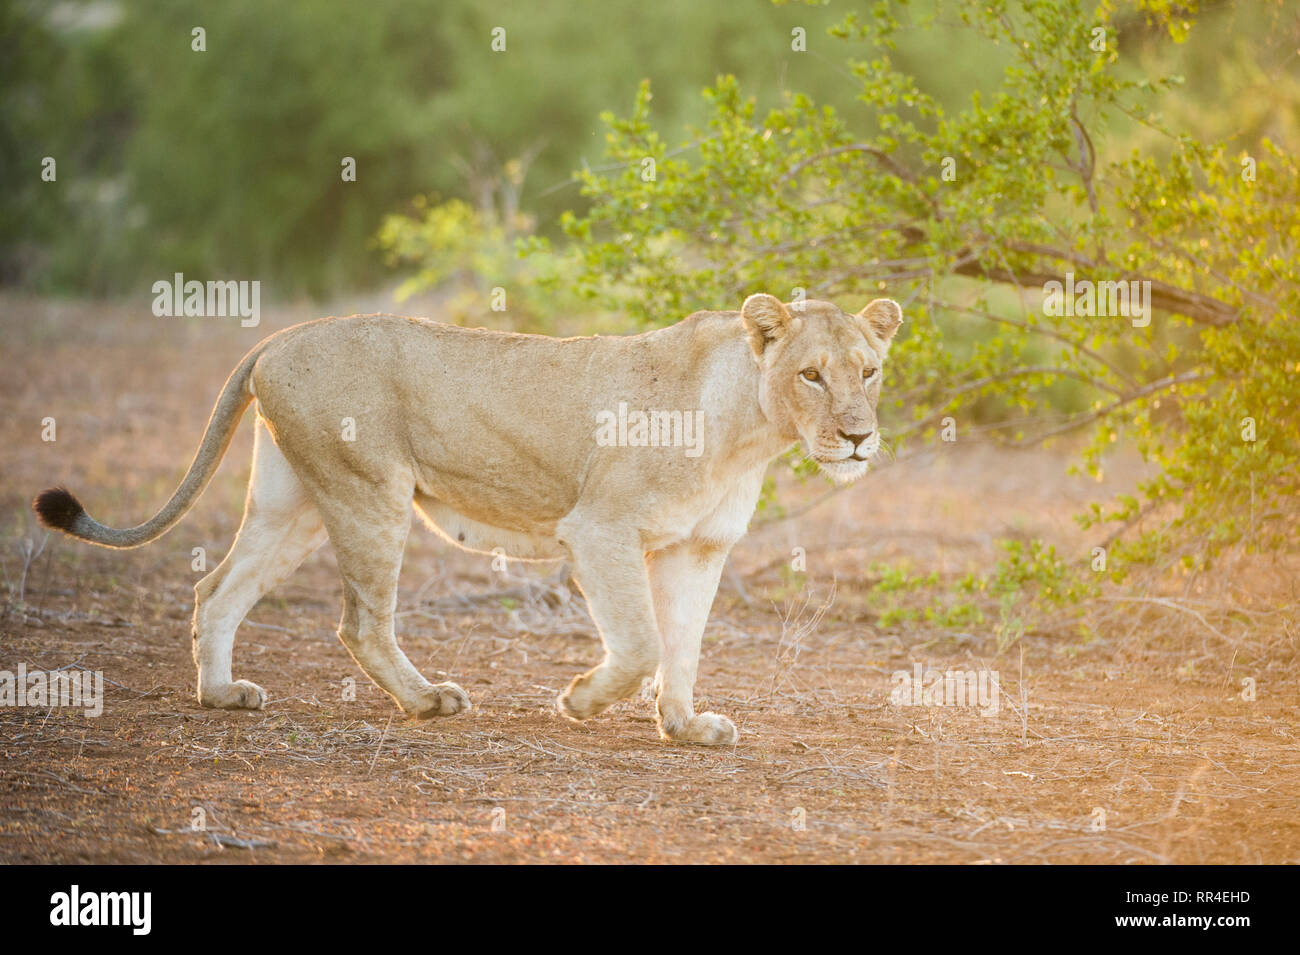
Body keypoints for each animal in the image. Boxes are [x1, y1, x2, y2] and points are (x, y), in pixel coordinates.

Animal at [34, 294, 902, 745]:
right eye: (812, 375)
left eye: (870, 371)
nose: (859, 436)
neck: (748, 428)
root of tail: (277, 336)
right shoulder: (601, 529)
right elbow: (642, 644)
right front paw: (581, 700)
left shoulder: (699, 547)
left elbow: (683, 645)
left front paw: (686, 725)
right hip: (369, 494)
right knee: (359, 622)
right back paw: (426, 702)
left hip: (296, 503)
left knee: (216, 588)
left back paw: (221, 693)